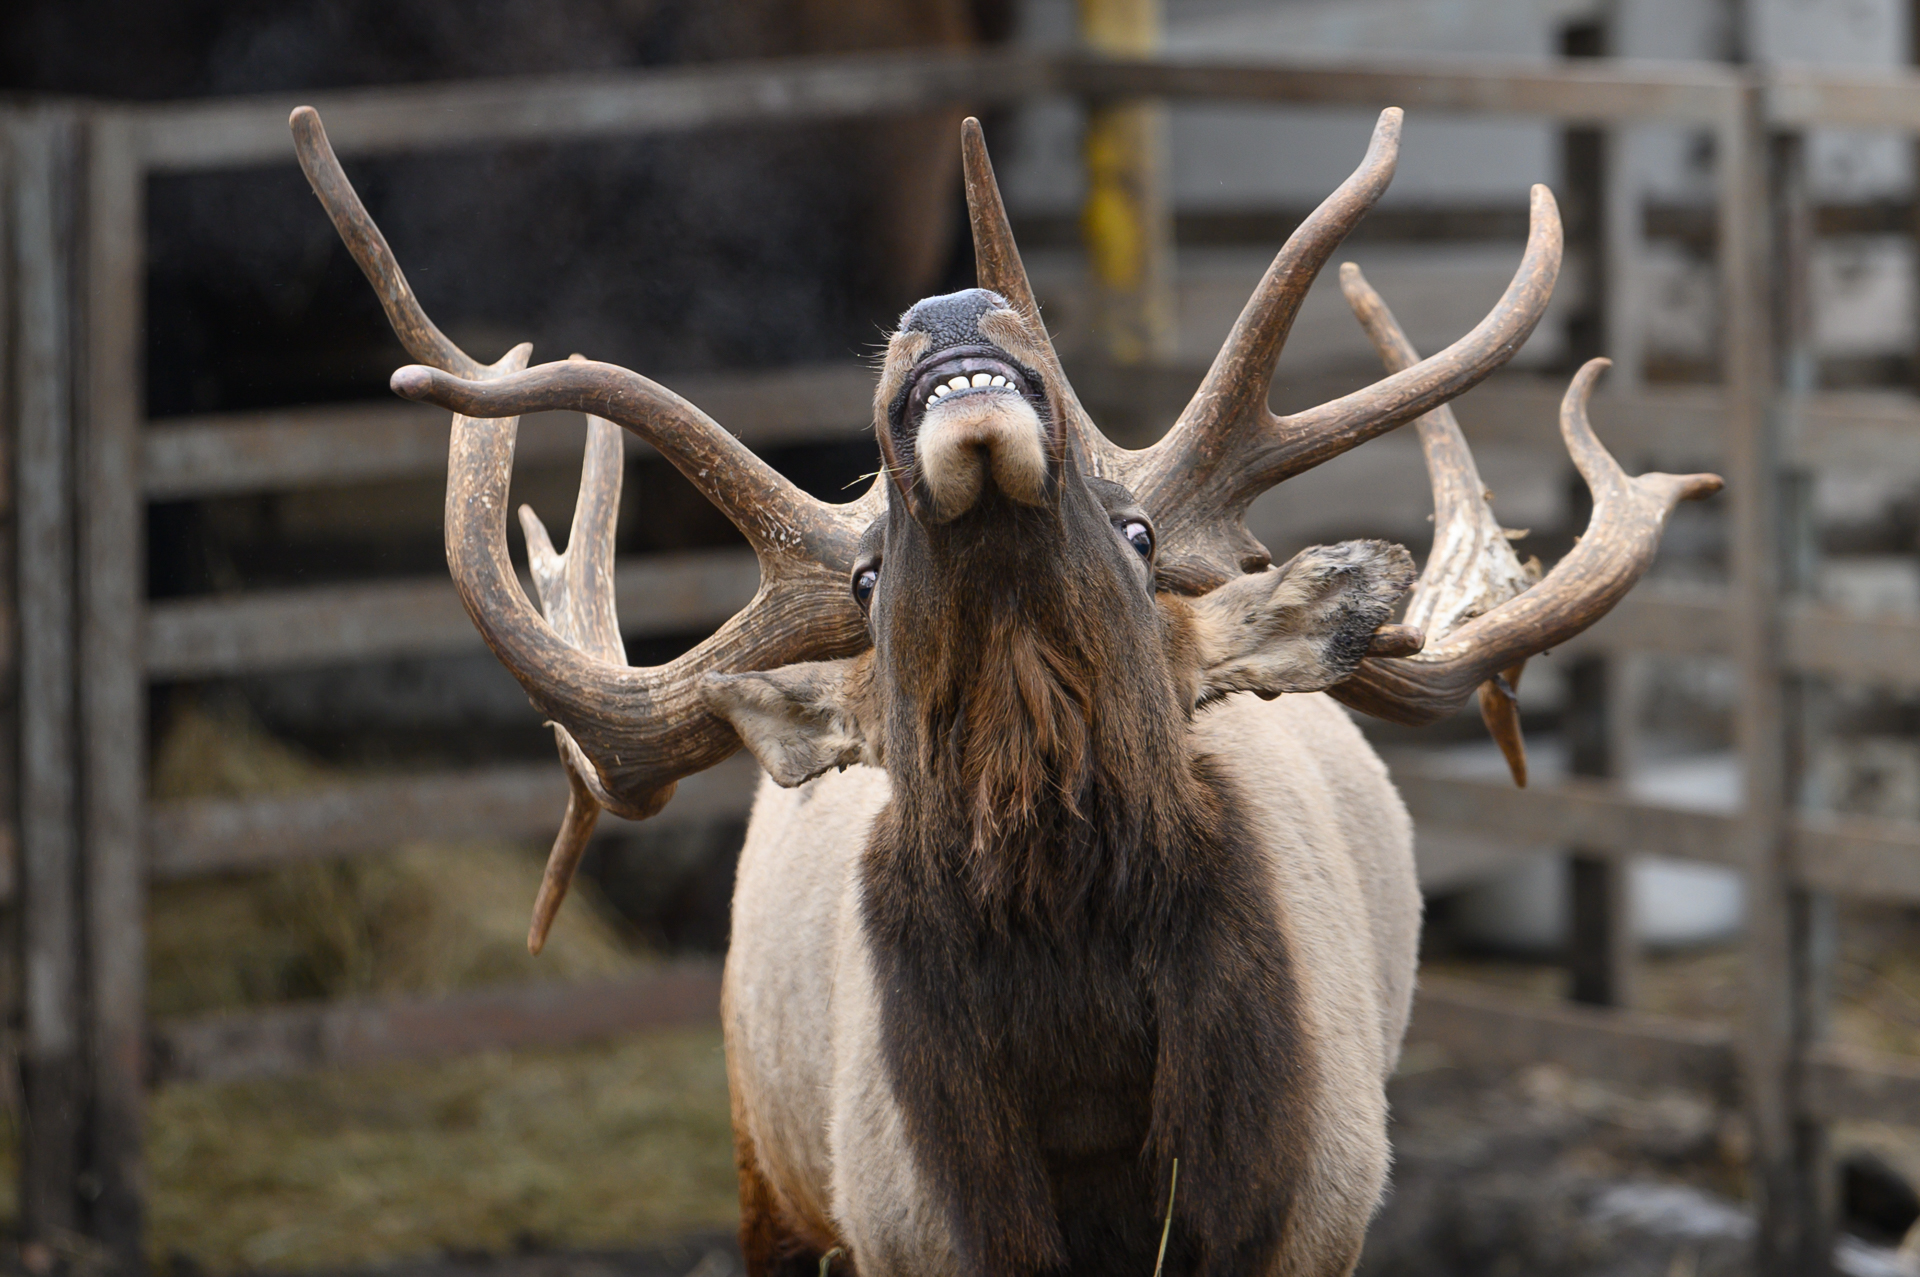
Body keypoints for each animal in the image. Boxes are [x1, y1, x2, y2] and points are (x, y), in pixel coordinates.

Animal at [291, 102, 1720, 1275]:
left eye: (1139, 534)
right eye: (865, 577)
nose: (949, 309)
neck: (1090, 1112)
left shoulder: (1315, 1217)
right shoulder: (905, 1228)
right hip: (767, 1167)